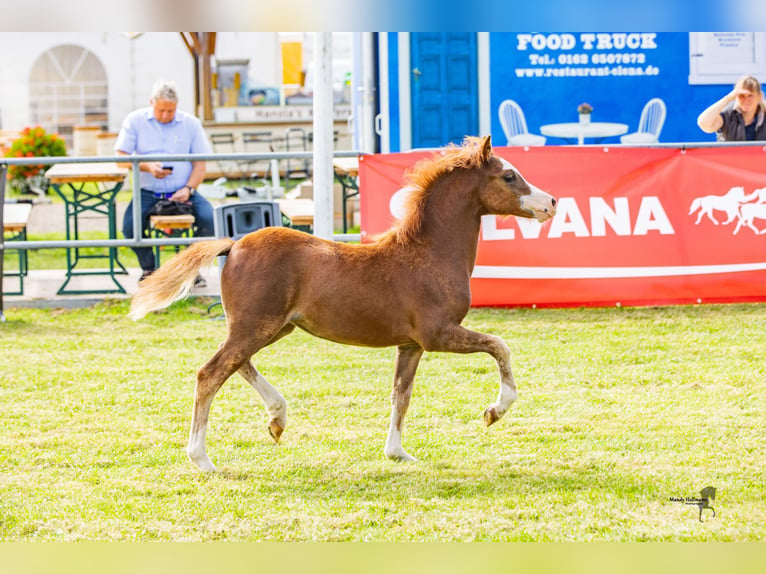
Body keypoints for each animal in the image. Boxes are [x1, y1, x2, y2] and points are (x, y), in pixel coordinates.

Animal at [130, 136, 552, 472]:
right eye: (509, 176)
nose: (551, 202)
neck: (429, 253)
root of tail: (233, 245)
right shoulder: (438, 334)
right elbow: (500, 346)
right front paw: (494, 412)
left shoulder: (411, 345)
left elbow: (401, 394)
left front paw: (396, 453)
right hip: (257, 326)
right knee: (211, 373)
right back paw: (201, 458)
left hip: (270, 327)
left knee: (237, 364)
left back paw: (277, 419)